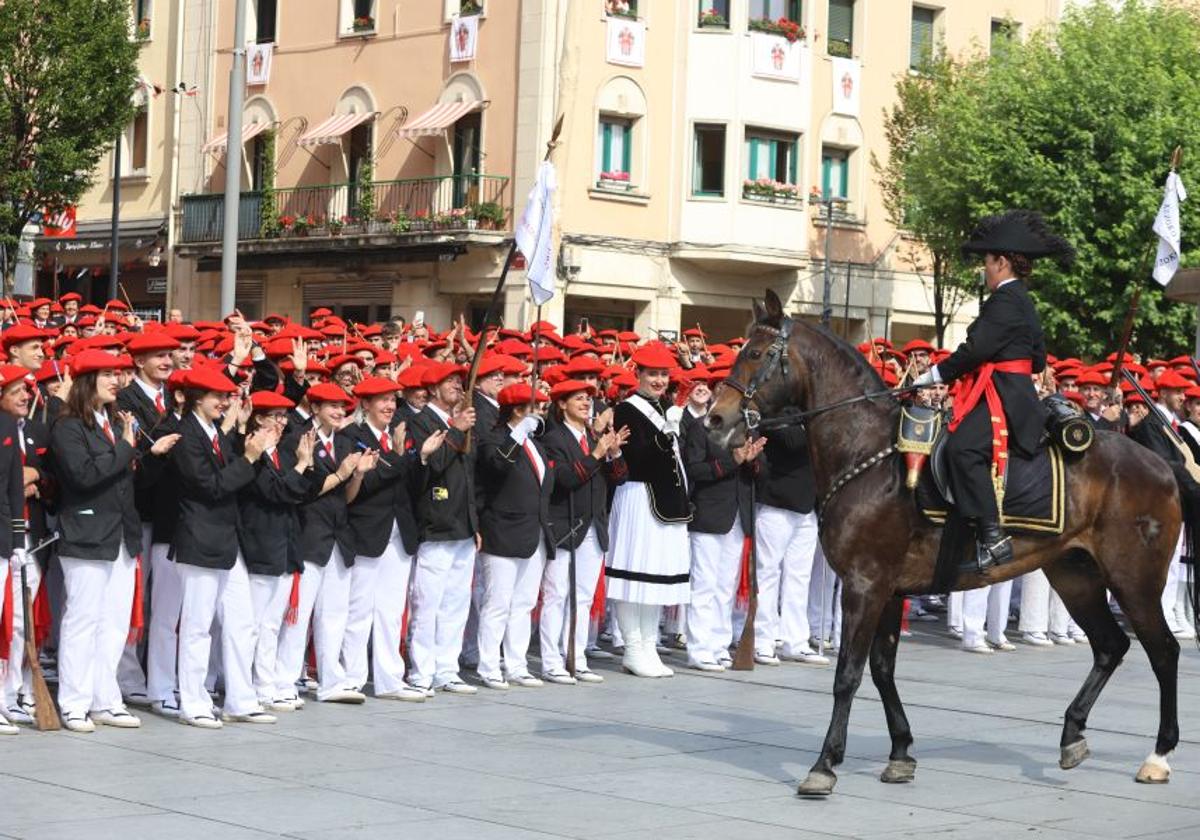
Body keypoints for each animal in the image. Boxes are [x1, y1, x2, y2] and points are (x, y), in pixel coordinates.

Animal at [705, 291, 1185, 796]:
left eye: (756, 354)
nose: (715, 419)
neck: (868, 453)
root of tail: (1159, 464)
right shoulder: (888, 590)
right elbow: (882, 669)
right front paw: (900, 752)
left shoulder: (865, 585)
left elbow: (849, 674)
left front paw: (825, 764)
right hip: (1075, 575)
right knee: (1111, 645)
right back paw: (1073, 734)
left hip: (1133, 580)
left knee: (1163, 652)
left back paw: (1158, 755)